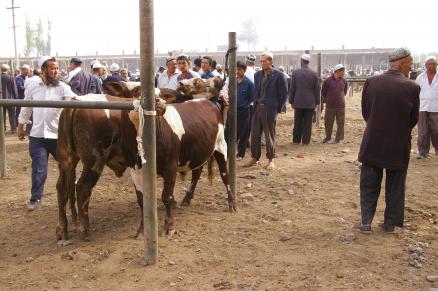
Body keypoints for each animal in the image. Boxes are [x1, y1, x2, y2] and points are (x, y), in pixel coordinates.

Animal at [55, 81, 236, 242]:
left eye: (160, 94)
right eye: (137, 92)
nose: (157, 102)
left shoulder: (170, 166)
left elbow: (166, 196)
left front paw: (168, 226)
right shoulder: (136, 169)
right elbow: (144, 201)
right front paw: (143, 230)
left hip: (220, 146)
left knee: (224, 174)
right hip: (91, 160)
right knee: (79, 187)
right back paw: (81, 229)